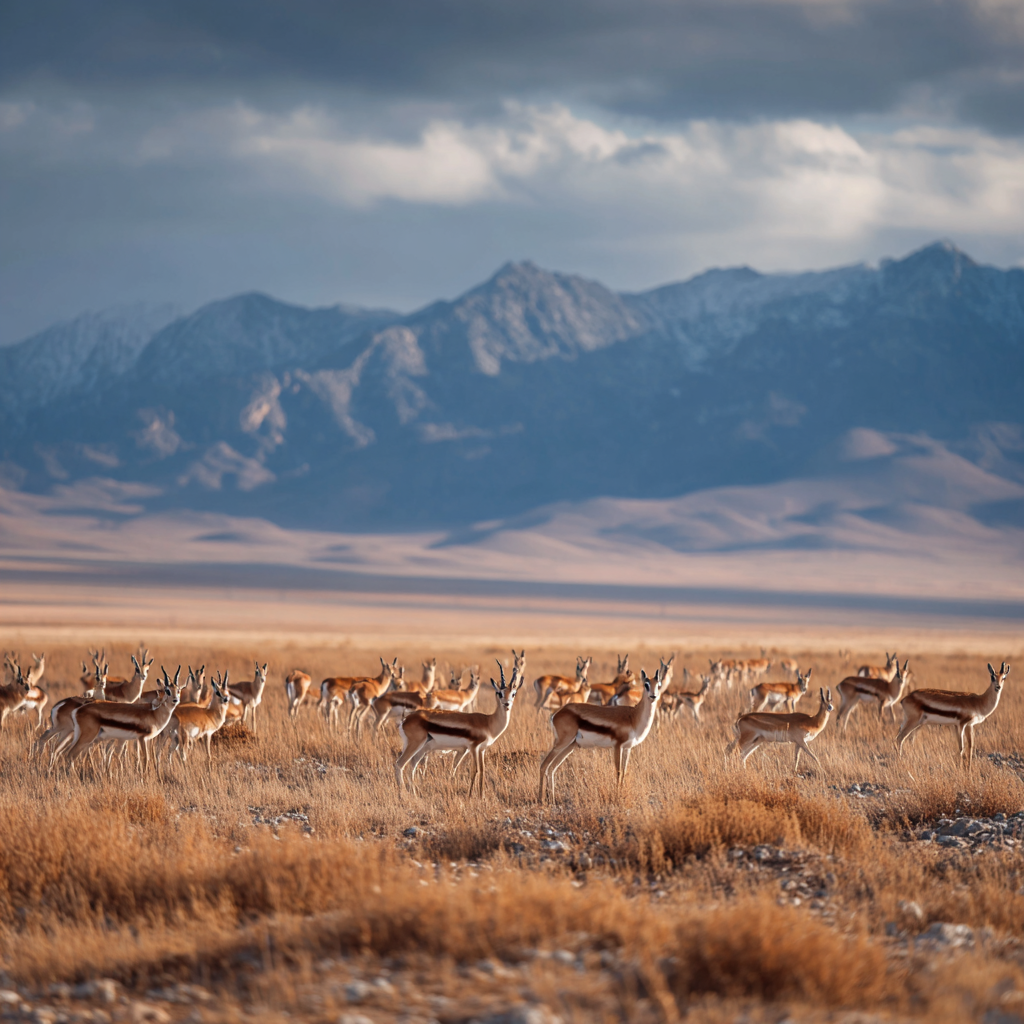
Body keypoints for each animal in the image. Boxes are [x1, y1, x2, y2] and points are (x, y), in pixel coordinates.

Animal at [395, 660, 524, 796]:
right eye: (499, 693)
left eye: (513, 694)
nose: (506, 704)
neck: (488, 722)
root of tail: (406, 720)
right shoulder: (473, 748)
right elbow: (475, 770)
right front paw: (470, 796)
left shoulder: (481, 749)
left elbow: (482, 771)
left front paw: (481, 796)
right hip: (415, 744)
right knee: (400, 764)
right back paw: (402, 794)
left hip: (422, 748)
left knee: (411, 767)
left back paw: (414, 795)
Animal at [539, 667, 666, 802]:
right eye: (646, 684)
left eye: (658, 685)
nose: (653, 696)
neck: (633, 717)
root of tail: (557, 714)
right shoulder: (617, 746)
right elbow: (618, 771)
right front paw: (617, 795)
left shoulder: (628, 748)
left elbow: (624, 771)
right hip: (562, 743)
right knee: (544, 765)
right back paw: (540, 798)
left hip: (570, 746)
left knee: (552, 768)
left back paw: (552, 798)